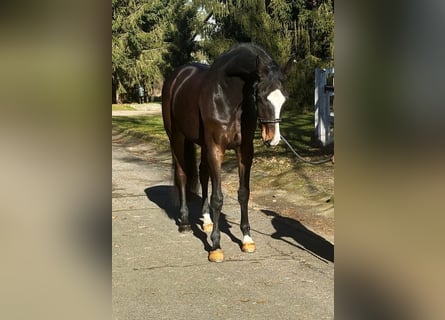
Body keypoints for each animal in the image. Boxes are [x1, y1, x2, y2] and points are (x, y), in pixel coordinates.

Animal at [161, 42, 286, 262]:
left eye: (284, 99)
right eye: (261, 97)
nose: (273, 139)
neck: (228, 95)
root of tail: (176, 77)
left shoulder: (244, 151)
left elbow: (243, 193)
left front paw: (247, 239)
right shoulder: (216, 148)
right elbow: (218, 198)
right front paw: (216, 246)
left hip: (202, 145)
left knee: (203, 175)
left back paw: (206, 220)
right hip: (176, 137)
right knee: (182, 175)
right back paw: (185, 222)